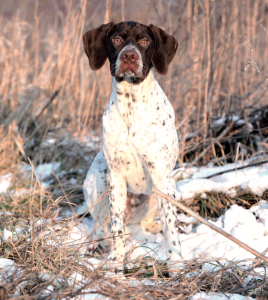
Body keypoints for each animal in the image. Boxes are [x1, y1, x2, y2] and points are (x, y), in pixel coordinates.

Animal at [82, 21, 181, 272]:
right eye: (117, 39)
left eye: (144, 41)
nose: (129, 55)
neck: (130, 104)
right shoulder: (116, 178)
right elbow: (115, 226)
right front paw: (116, 261)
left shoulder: (163, 178)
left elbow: (171, 226)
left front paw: (176, 261)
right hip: (96, 181)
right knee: (101, 224)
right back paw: (96, 243)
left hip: (168, 189)